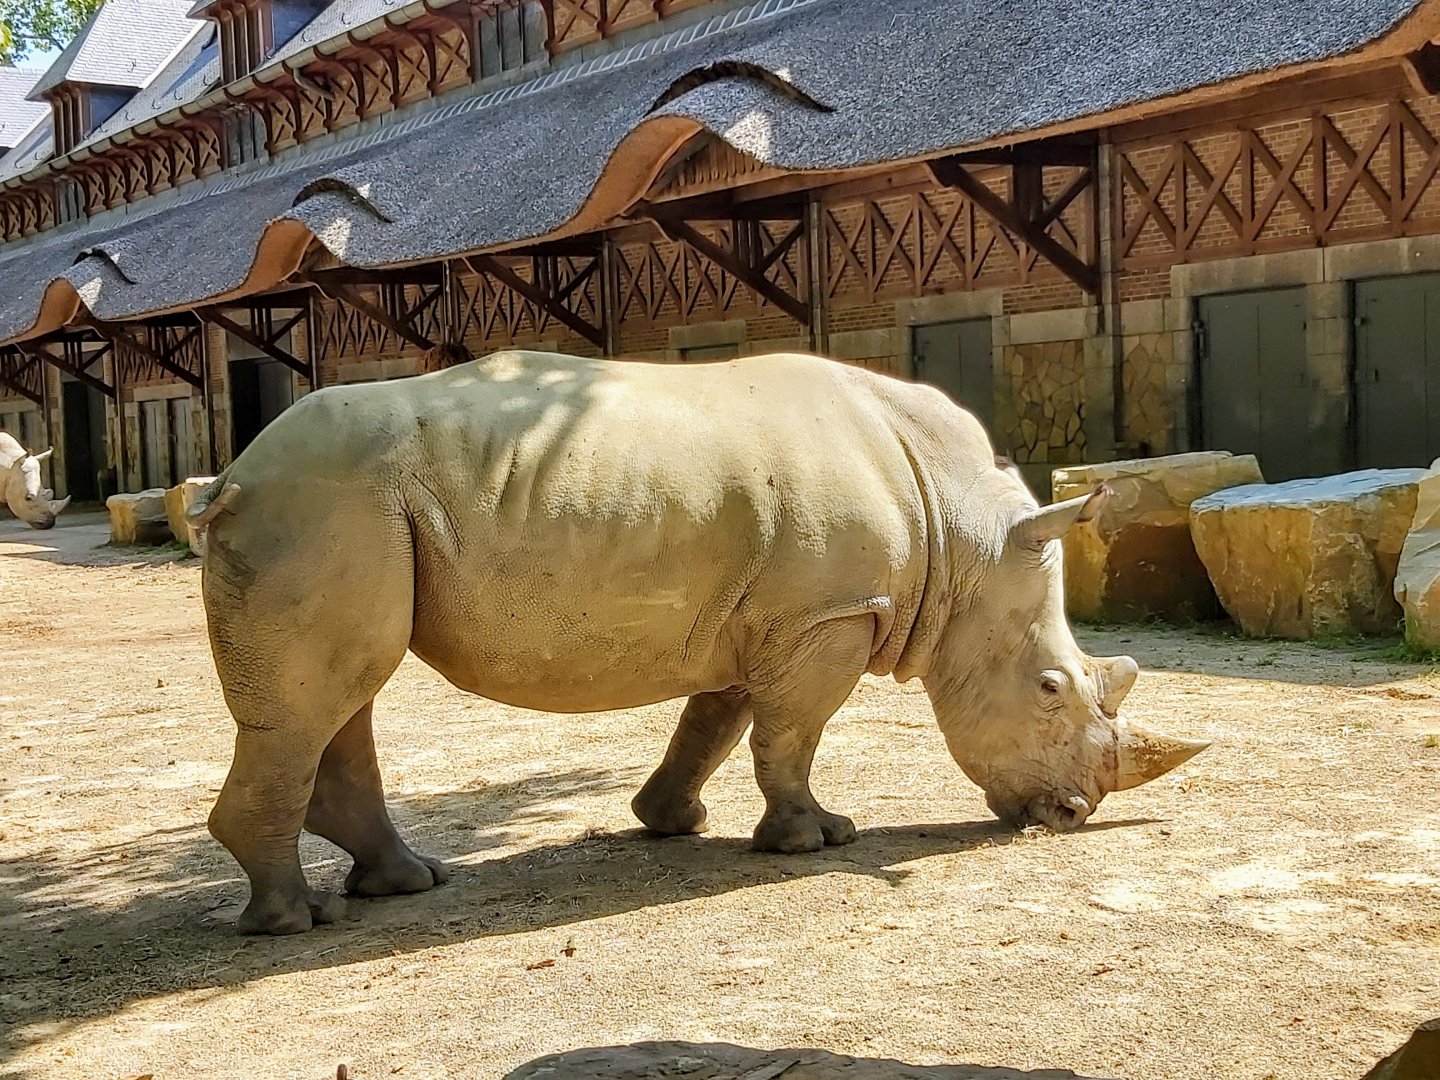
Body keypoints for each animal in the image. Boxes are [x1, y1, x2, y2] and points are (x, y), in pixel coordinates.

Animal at [191, 350, 1208, 935]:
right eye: (1051, 689)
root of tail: (233, 474)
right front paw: (815, 840)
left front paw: (671, 821)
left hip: (350, 511)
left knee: (346, 694)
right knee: (324, 698)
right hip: (327, 505)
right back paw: (296, 922)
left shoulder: (768, 614)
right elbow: (791, 734)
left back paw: (407, 885)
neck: (966, 535)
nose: (1070, 814)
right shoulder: (829, 613)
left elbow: (716, 722)